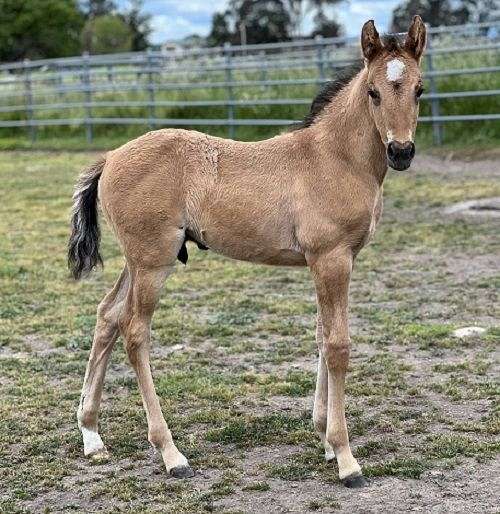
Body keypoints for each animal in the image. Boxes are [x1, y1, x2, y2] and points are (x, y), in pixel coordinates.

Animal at [69, 18, 426, 486]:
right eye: (373, 91)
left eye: (419, 89)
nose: (400, 152)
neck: (335, 158)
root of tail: (110, 158)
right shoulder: (331, 258)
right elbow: (337, 345)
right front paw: (346, 458)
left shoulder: (329, 261)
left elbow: (320, 336)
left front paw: (325, 441)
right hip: (153, 263)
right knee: (134, 332)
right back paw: (171, 453)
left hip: (138, 260)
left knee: (107, 316)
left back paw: (92, 435)